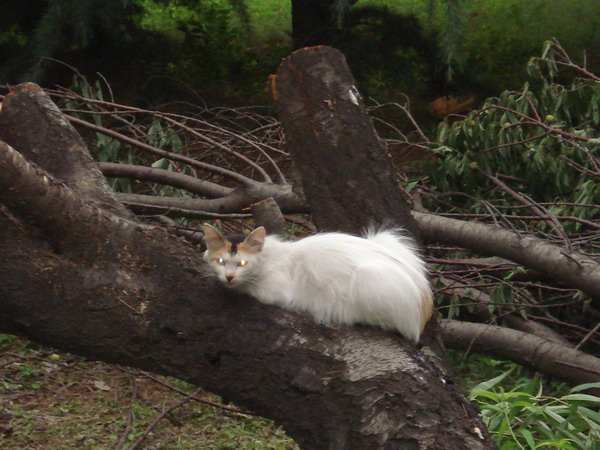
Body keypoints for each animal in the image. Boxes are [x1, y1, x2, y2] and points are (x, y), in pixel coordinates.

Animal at [204, 223, 434, 342]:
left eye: (242, 263)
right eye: (221, 261)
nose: (229, 276)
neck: (269, 256)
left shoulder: (276, 291)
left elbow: (247, 289)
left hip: (368, 275)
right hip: (384, 238)